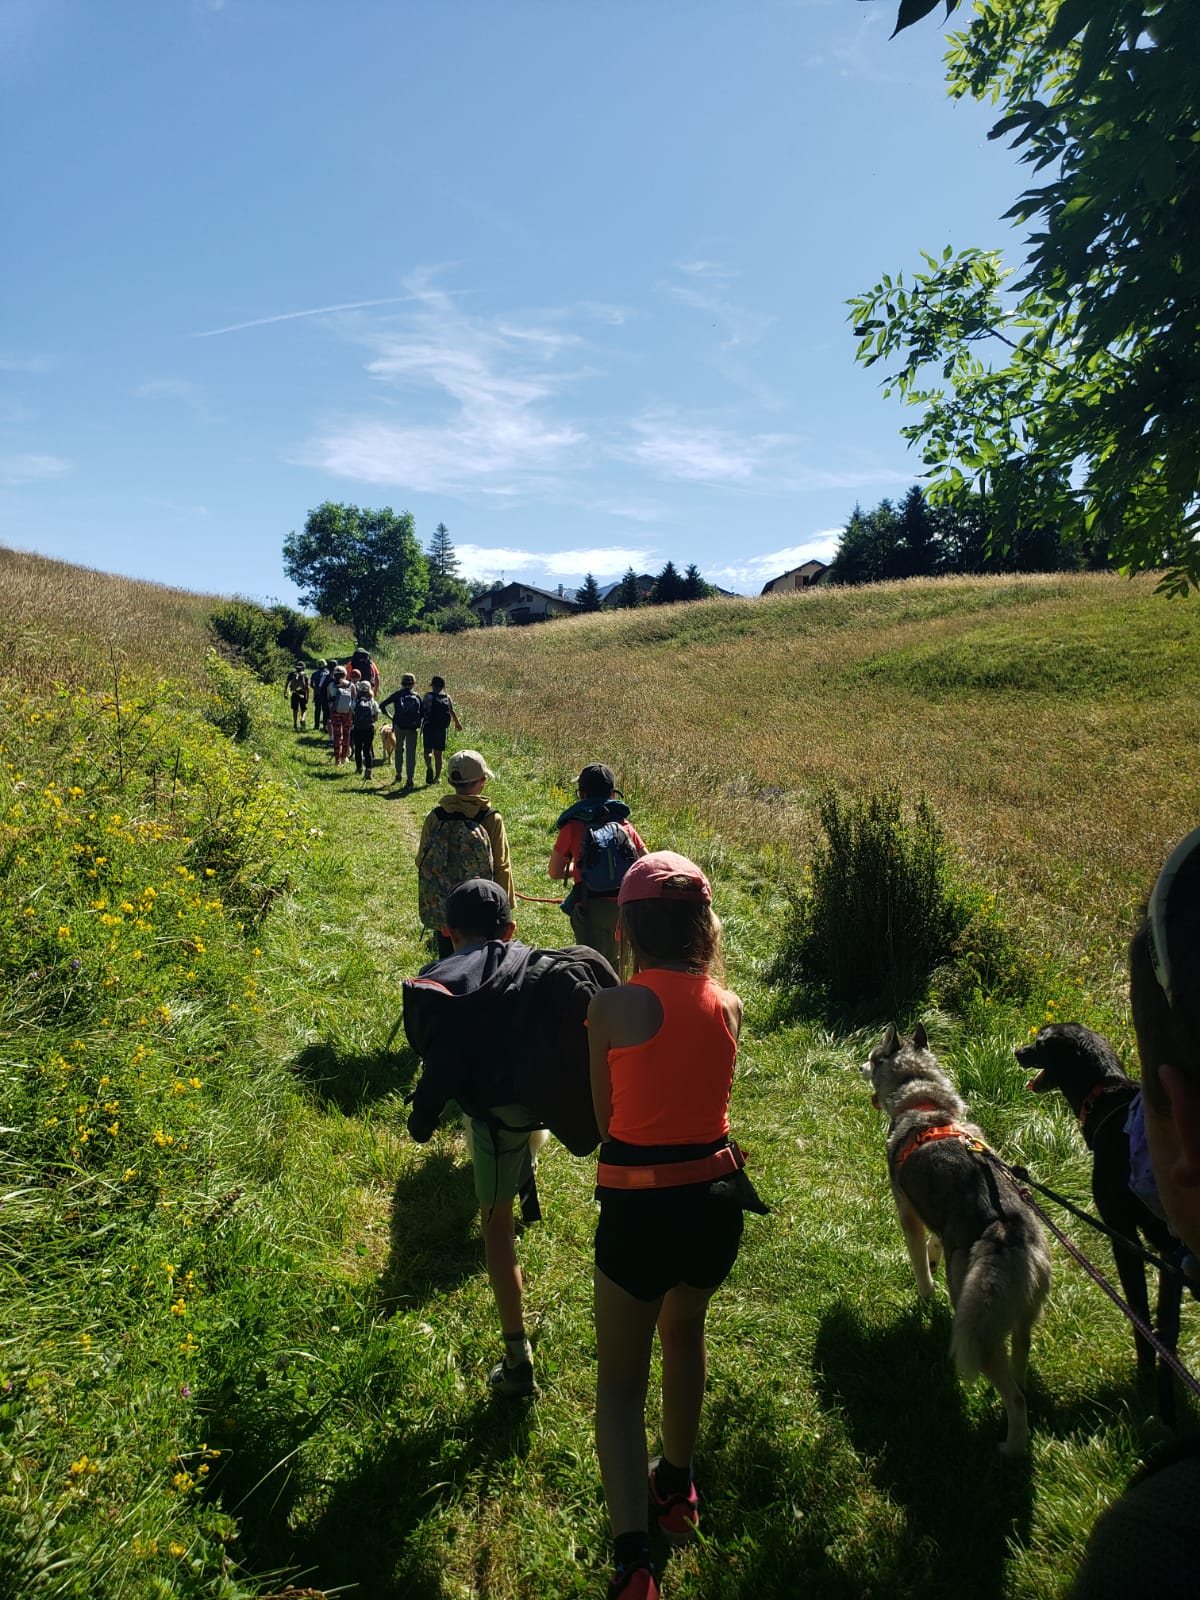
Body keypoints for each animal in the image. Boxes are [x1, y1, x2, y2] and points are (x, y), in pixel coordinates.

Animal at [864, 1024, 1049, 1452]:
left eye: (874, 1055)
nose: (859, 1064)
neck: (925, 1103)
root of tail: (1008, 1228)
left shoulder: (907, 1213)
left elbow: (920, 1267)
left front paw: (924, 1296)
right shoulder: (939, 1221)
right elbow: (936, 1243)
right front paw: (934, 1256)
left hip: (977, 1327)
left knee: (1015, 1396)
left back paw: (1011, 1447)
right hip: (1020, 1323)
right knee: (1020, 1373)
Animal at [1017, 1024, 1190, 1427]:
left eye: (1042, 1042)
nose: (1017, 1051)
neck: (1105, 1095)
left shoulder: (1125, 1234)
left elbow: (1144, 1313)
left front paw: (1150, 1385)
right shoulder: (1171, 1254)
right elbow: (1168, 1325)